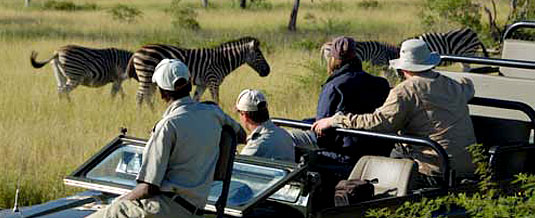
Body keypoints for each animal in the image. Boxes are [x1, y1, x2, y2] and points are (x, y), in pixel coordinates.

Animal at [127, 36, 270, 108]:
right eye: (259, 54)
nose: (268, 71)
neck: (222, 60)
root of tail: (138, 51)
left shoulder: (203, 84)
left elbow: (196, 99)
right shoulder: (213, 81)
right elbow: (216, 100)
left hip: (150, 78)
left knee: (146, 97)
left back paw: (151, 113)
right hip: (145, 74)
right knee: (139, 97)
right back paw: (139, 115)